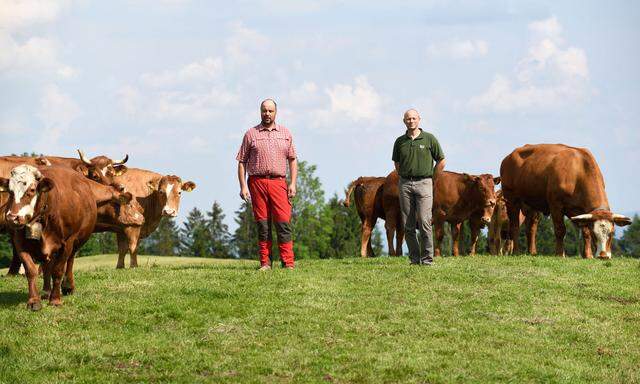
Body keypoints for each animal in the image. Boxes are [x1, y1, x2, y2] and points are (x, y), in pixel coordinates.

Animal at [0, 165, 135, 308]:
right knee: (47, 265)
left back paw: (67, 286)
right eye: (10, 191)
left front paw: (55, 299)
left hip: (75, 242)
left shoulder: (67, 242)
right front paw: (33, 301)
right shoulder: (19, 241)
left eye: (31, 190)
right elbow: (31, 270)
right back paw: (46, 291)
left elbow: (58, 270)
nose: (12, 217)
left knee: (69, 261)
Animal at [500, 146, 632, 260]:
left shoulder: (584, 213)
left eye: (612, 233)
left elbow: (585, 232)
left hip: (532, 203)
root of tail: (508, 157)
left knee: (531, 227)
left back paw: (532, 252)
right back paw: (516, 252)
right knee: (515, 226)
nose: (603, 256)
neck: (579, 172)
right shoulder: (556, 205)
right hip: (511, 200)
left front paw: (588, 255)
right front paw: (560, 254)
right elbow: (560, 229)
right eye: (595, 233)